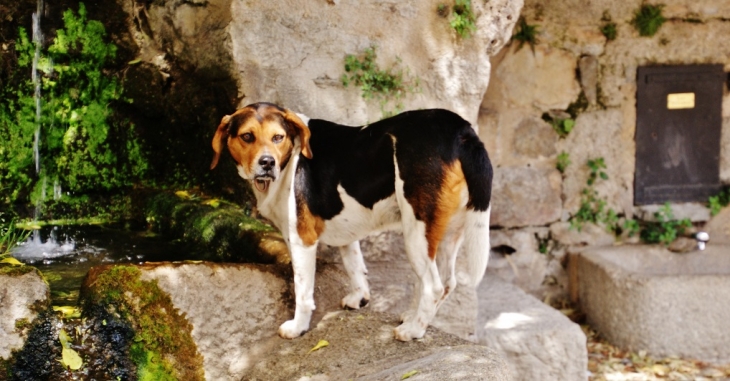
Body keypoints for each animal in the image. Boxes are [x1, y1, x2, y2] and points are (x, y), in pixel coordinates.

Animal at [213, 102, 492, 340]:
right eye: (247, 136)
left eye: (277, 137)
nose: (267, 163)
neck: (290, 159)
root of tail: (462, 130)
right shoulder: (347, 234)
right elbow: (354, 266)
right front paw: (360, 299)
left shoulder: (302, 240)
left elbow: (303, 290)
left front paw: (298, 327)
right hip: (447, 232)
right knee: (446, 283)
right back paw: (414, 318)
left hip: (417, 232)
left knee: (433, 286)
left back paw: (412, 331)